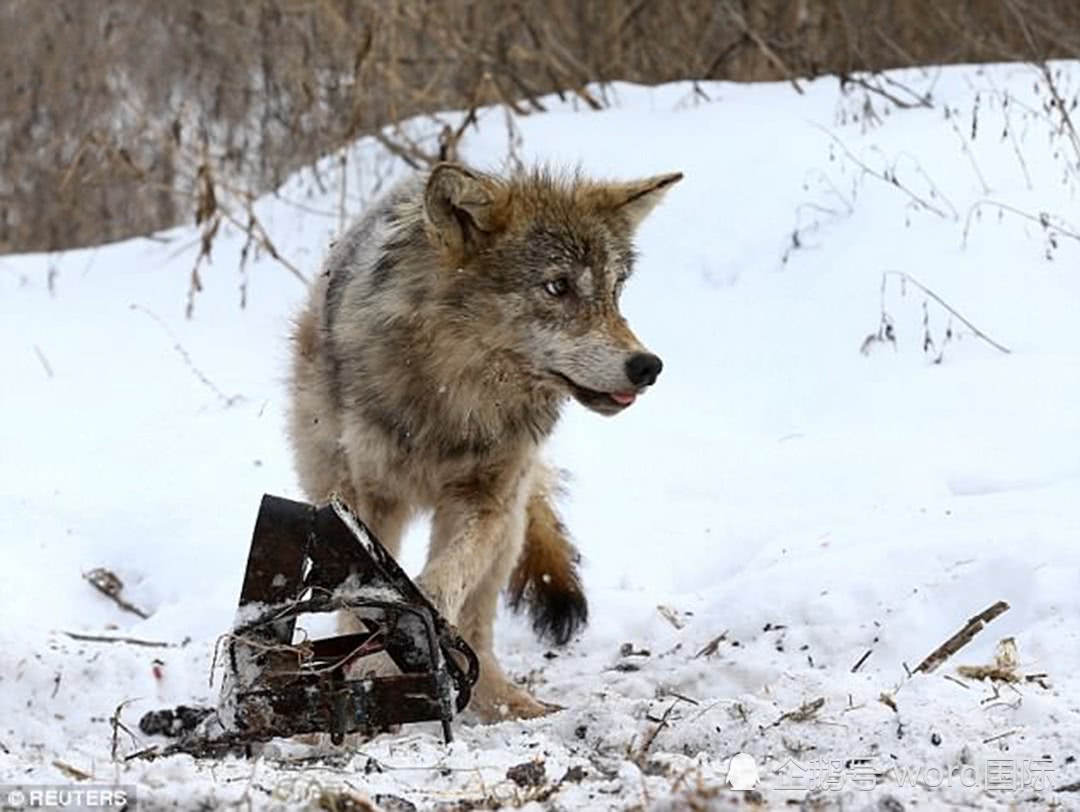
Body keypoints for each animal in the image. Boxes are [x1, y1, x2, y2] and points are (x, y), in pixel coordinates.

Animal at [287, 161, 682, 721]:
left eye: (615, 290)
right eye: (557, 287)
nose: (647, 366)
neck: (456, 399)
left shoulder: (486, 500)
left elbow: (439, 585)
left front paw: (398, 651)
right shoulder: (372, 501)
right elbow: (370, 596)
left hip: (510, 524)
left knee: (477, 623)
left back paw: (510, 703)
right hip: (330, 482)